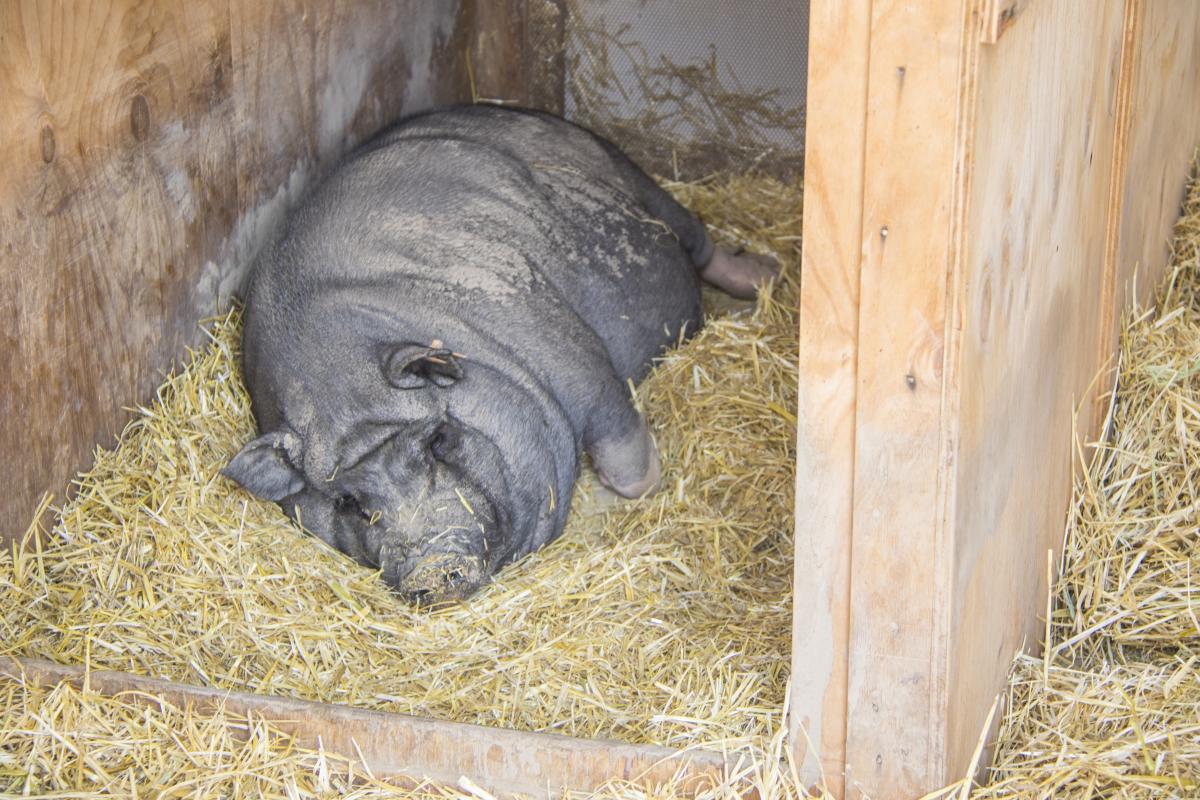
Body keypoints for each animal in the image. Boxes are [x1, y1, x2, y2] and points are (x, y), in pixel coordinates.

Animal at [220, 107, 772, 606]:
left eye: (437, 440)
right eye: (347, 500)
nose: (431, 563)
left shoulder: (571, 353)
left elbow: (628, 466)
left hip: (645, 188)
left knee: (702, 245)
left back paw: (768, 273)